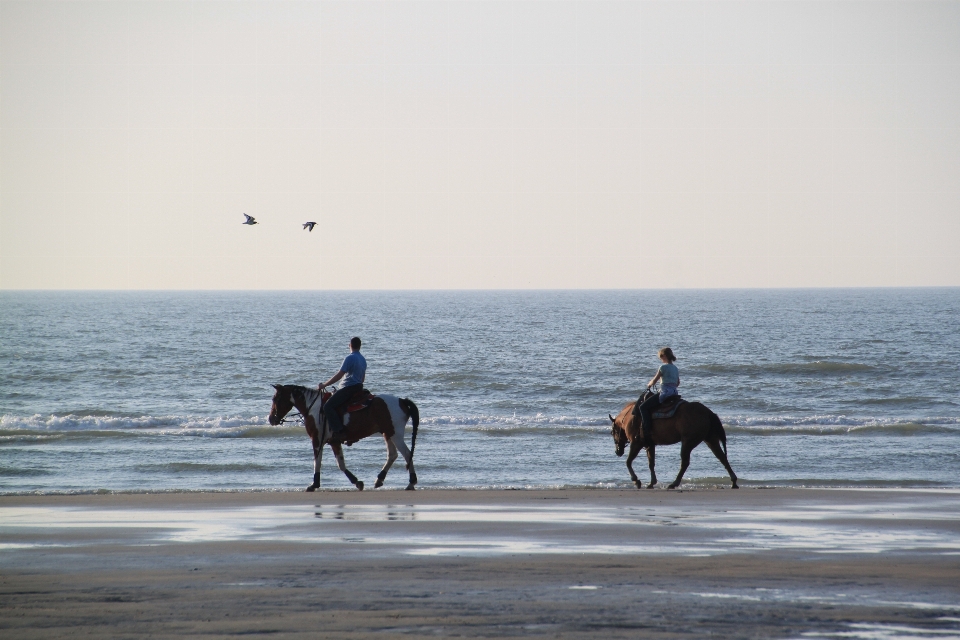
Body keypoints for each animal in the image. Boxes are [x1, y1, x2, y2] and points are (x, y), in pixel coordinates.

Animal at [270, 384, 420, 490]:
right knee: (392, 455)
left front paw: (314, 484)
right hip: (387, 433)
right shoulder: (334, 442)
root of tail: (402, 400)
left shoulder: (317, 439)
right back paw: (379, 480)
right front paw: (357, 482)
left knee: (407, 454)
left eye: (275, 399)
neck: (314, 408)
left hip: (395, 434)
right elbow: (341, 464)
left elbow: (317, 461)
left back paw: (411, 483)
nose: (271, 419)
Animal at [612, 390, 740, 490]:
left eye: (612, 432)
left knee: (685, 463)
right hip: (710, 440)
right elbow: (651, 463)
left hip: (688, 442)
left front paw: (636, 480)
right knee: (722, 457)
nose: (617, 451)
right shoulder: (650, 445)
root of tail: (708, 412)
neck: (630, 417)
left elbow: (628, 462)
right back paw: (734, 482)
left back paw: (674, 484)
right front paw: (652, 483)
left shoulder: (636, 443)